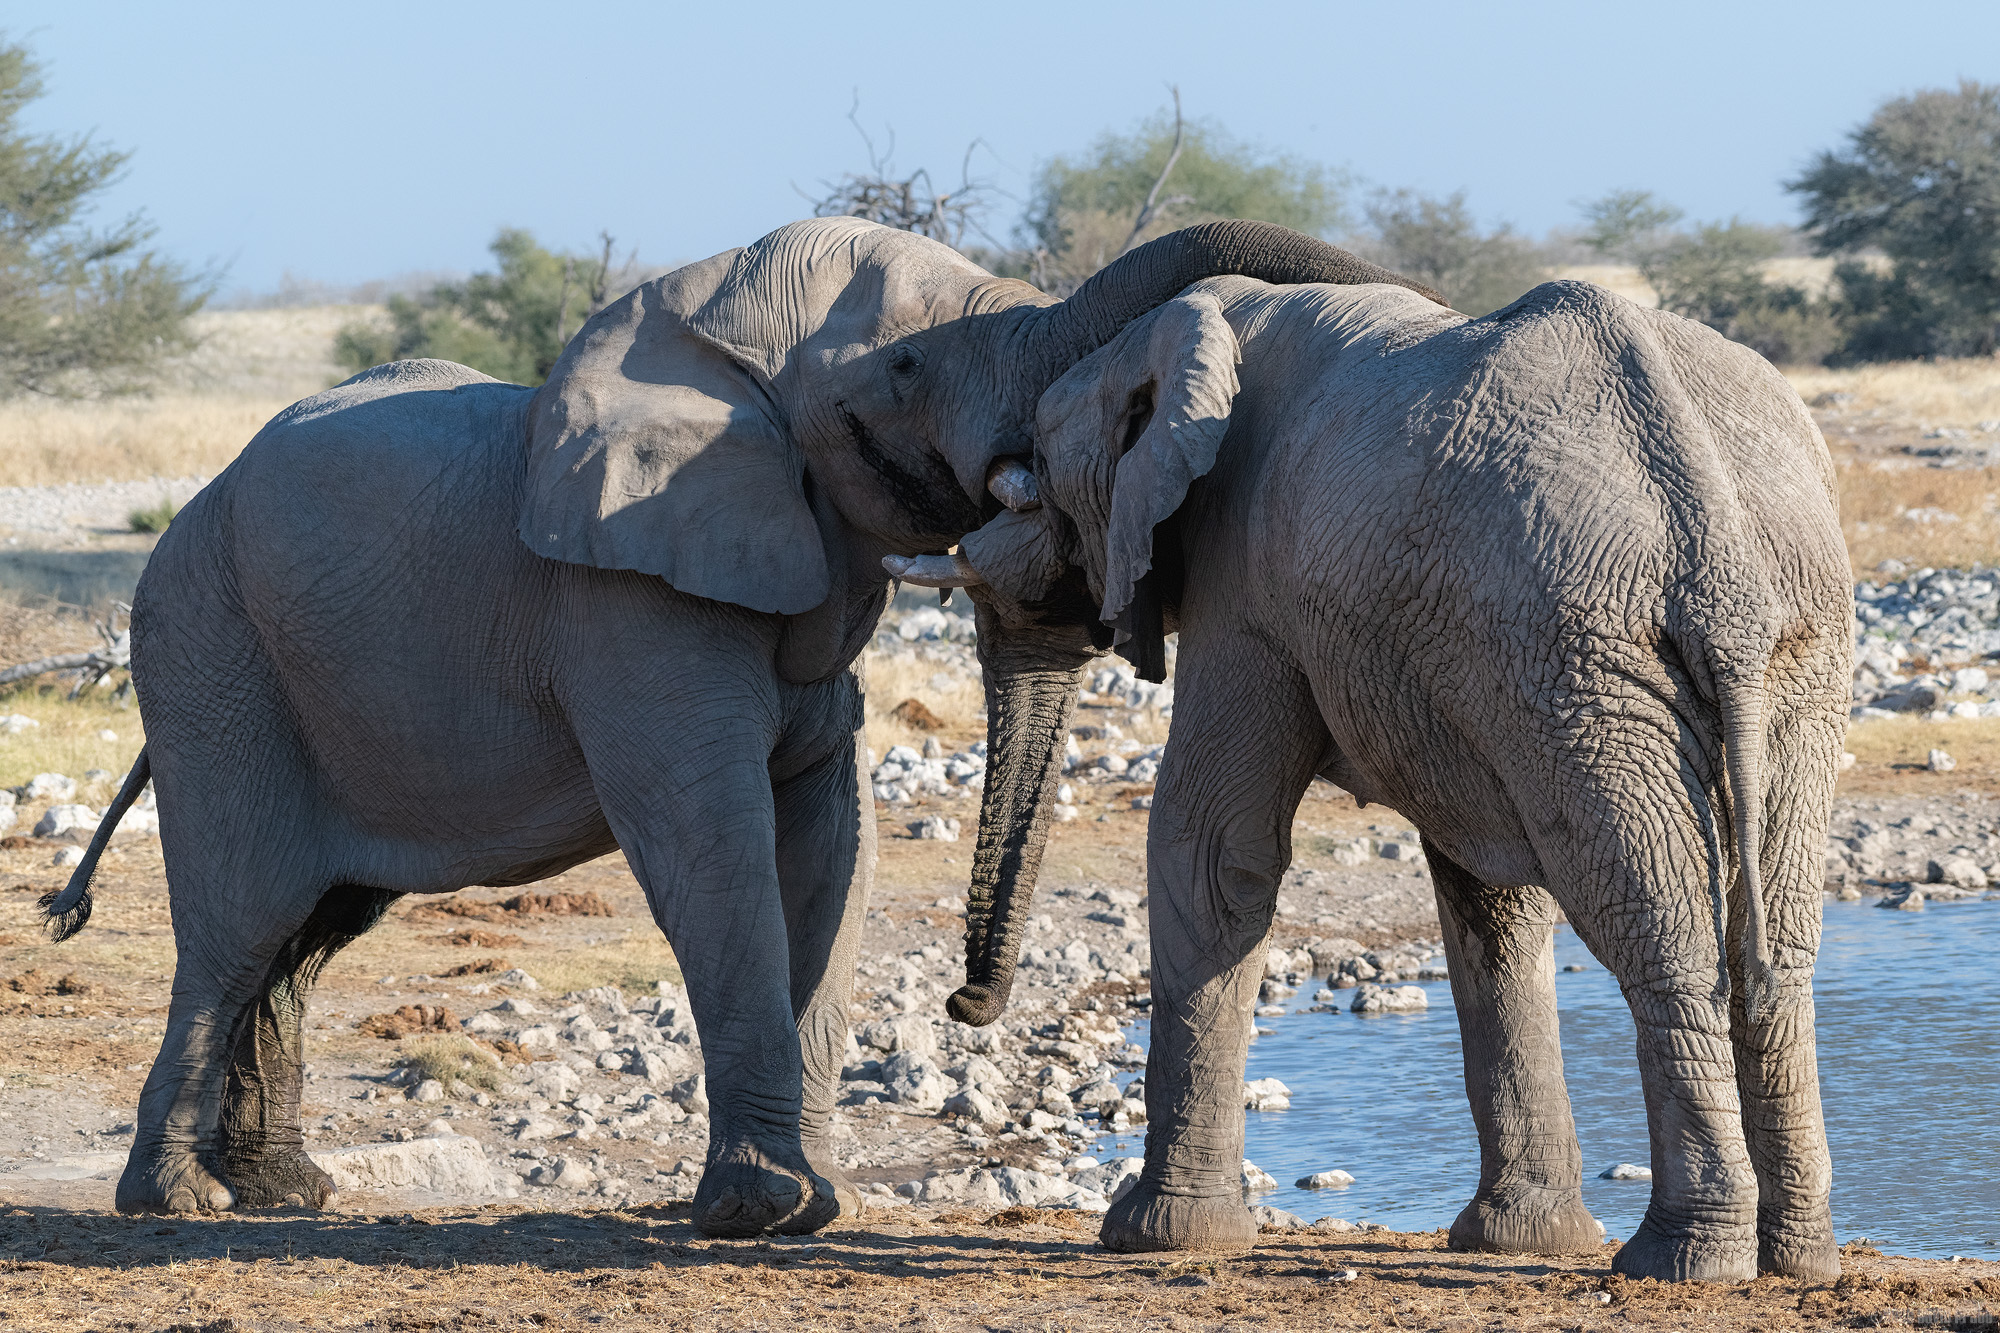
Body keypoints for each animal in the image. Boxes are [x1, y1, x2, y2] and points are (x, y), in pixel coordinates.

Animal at [40, 216, 1439, 1236]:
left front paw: (815, 1198)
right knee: (240, 923)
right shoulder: (624, 603)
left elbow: (827, 840)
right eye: (903, 367)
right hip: (212, 657)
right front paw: (768, 1209)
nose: (968, 1002)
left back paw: (287, 1193)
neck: (692, 319)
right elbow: (709, 843)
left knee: (311, 932)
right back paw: (174, 1201)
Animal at [923, 275, 1852, 1281]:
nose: (965, 1003)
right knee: (1776, 942)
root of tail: (1716, 545)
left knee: (1660, 932)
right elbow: (1489, 891)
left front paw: (1151, 1234)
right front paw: (1515, 1241)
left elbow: (1211, 845)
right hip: (1770, 646)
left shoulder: (1243, 581)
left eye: (1041, 489)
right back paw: (1798, 1258)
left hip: (1585, 650)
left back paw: (1679, 1259)